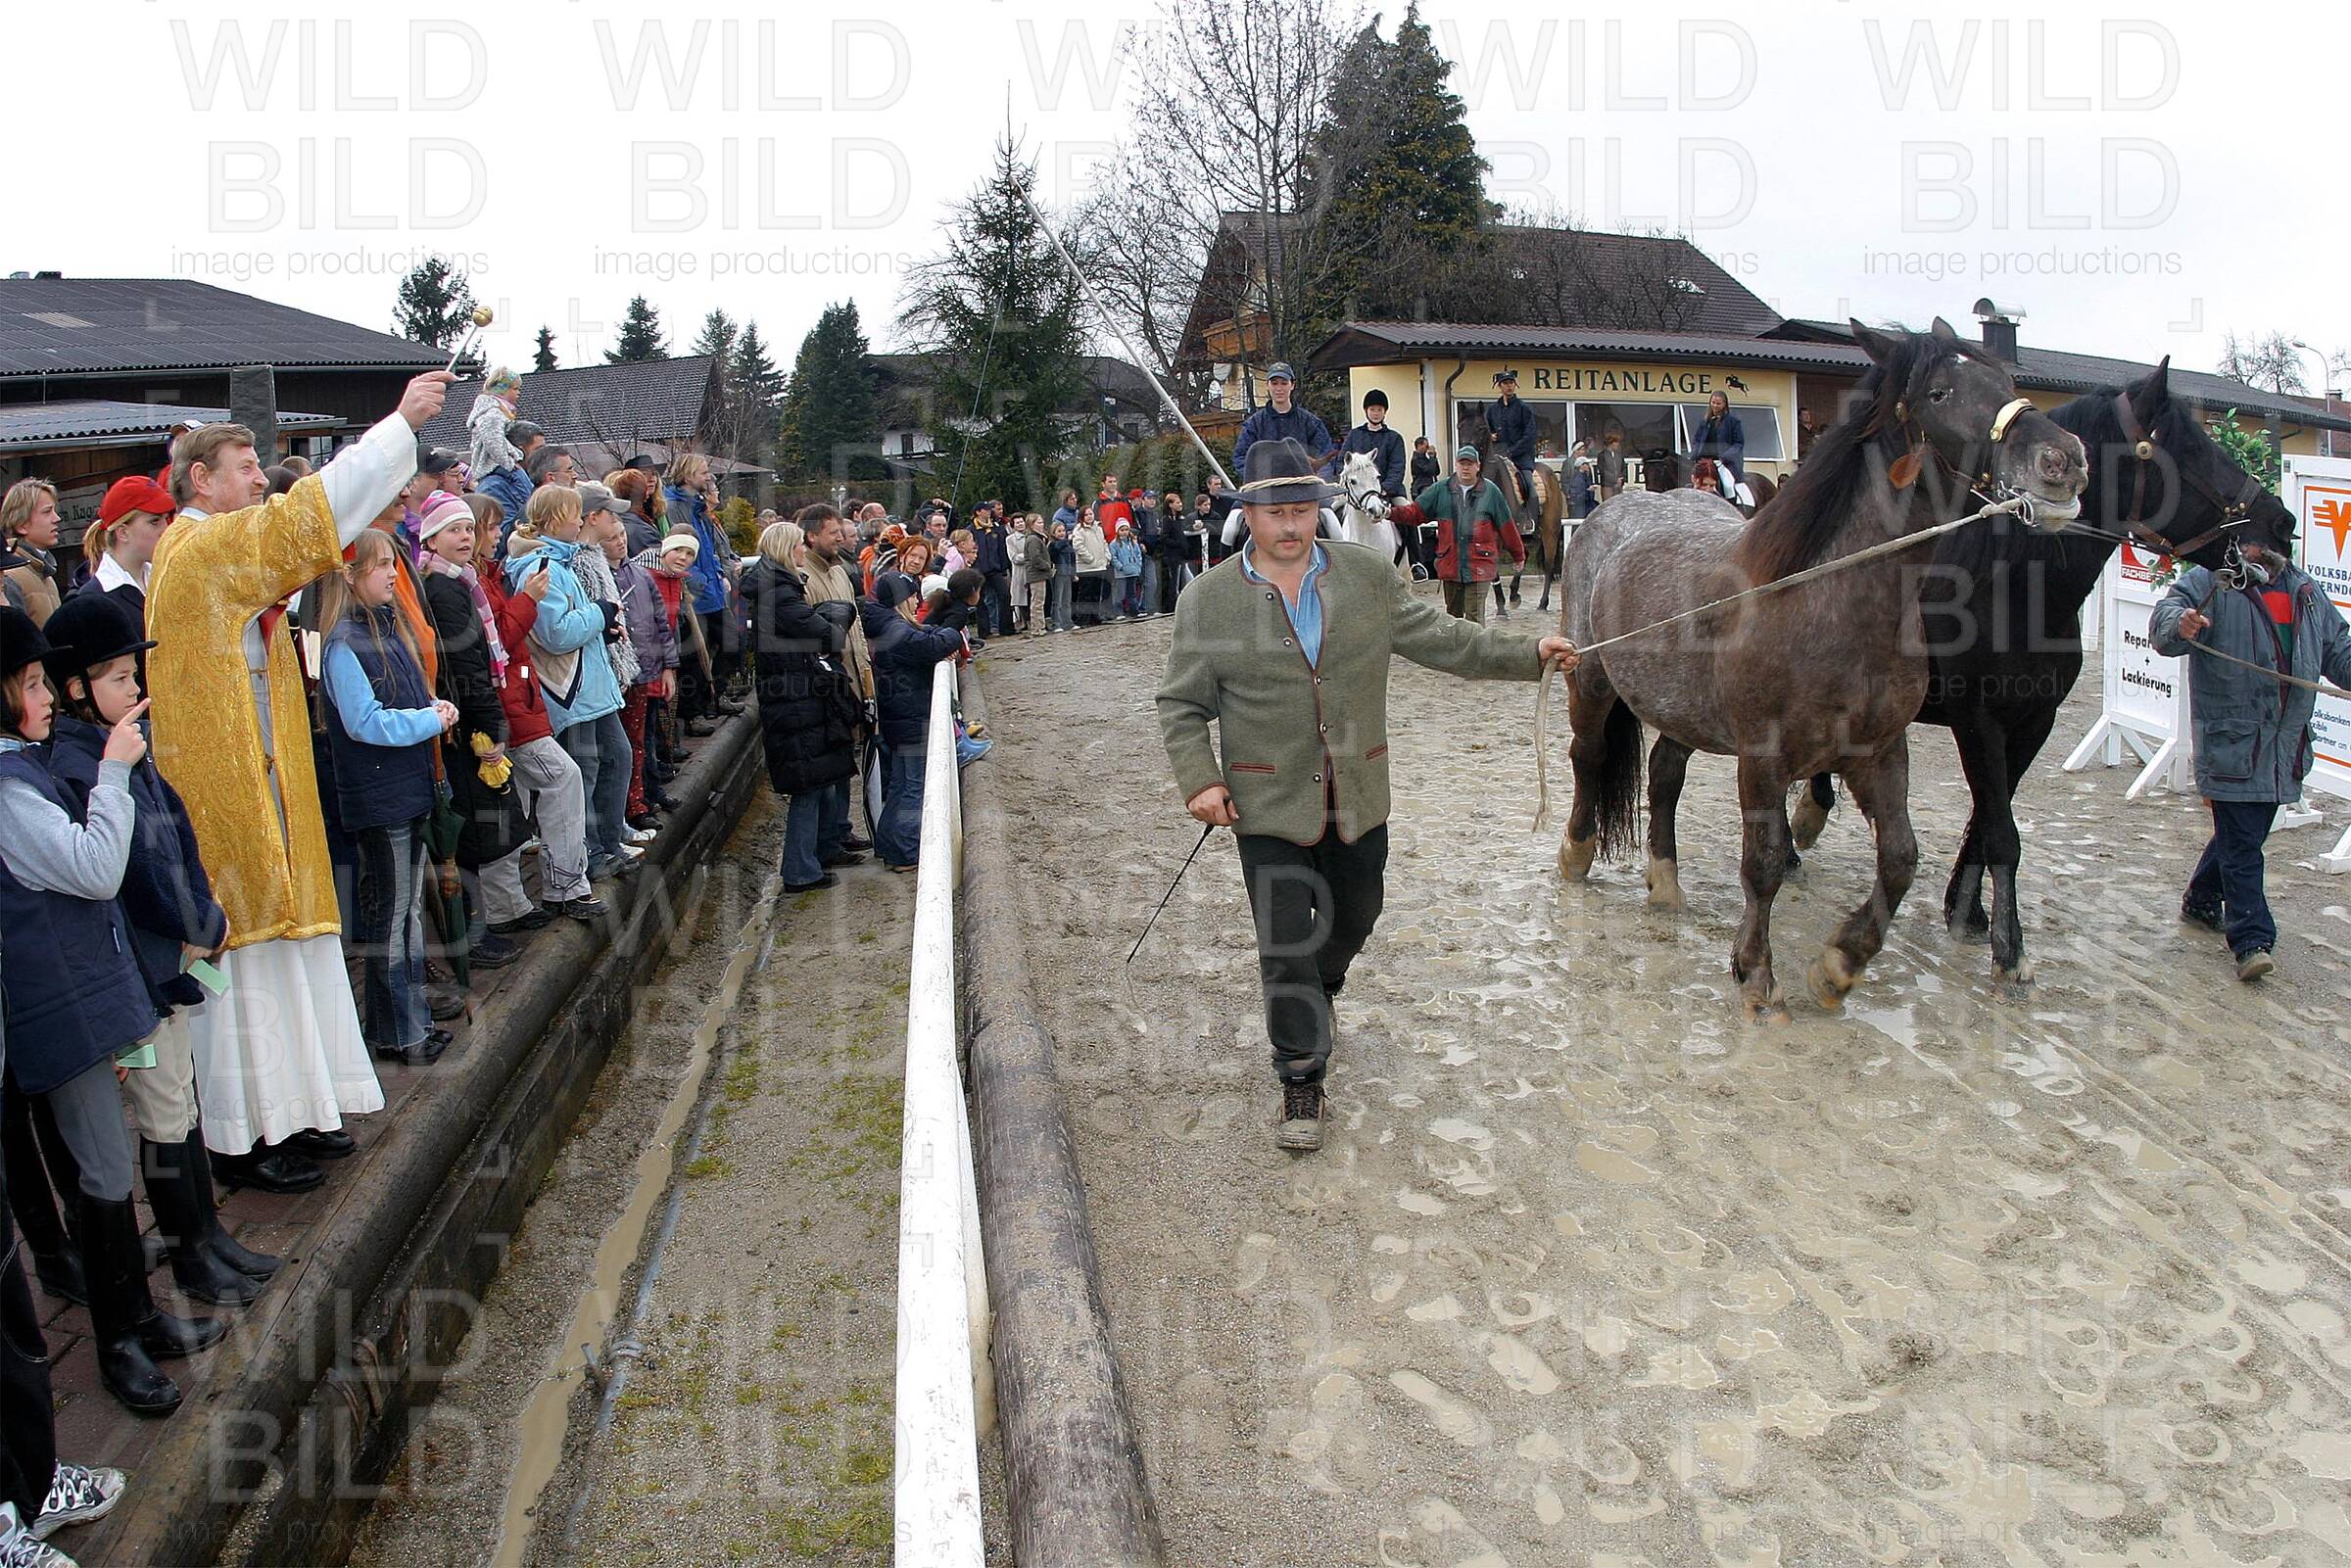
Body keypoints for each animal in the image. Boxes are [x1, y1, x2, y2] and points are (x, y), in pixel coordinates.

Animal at [1552, 319, 2088, 1021]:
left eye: (2004, 381)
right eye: (1940, 392)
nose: (2065, 462)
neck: (1827, 600)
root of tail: (1612, 512)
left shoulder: (1880, 751)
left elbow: (1900, 859)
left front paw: (1839, 966)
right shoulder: (1762, 758)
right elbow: (1764, 863)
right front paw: (1755, 973)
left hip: (1682, 709)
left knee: (1665, 773)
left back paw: (1665, 884)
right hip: (1589, 679)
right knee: (1588, 757)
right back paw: (1576, 852)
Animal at [1786, 359, 2295, 981]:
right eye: (2191, 448)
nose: (2281, 525)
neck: (2011, 585)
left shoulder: (2033, 722)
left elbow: (1989, 818)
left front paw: (1967, 911)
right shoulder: (1978, 722)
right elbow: (2001, 830)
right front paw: (2010, 949)